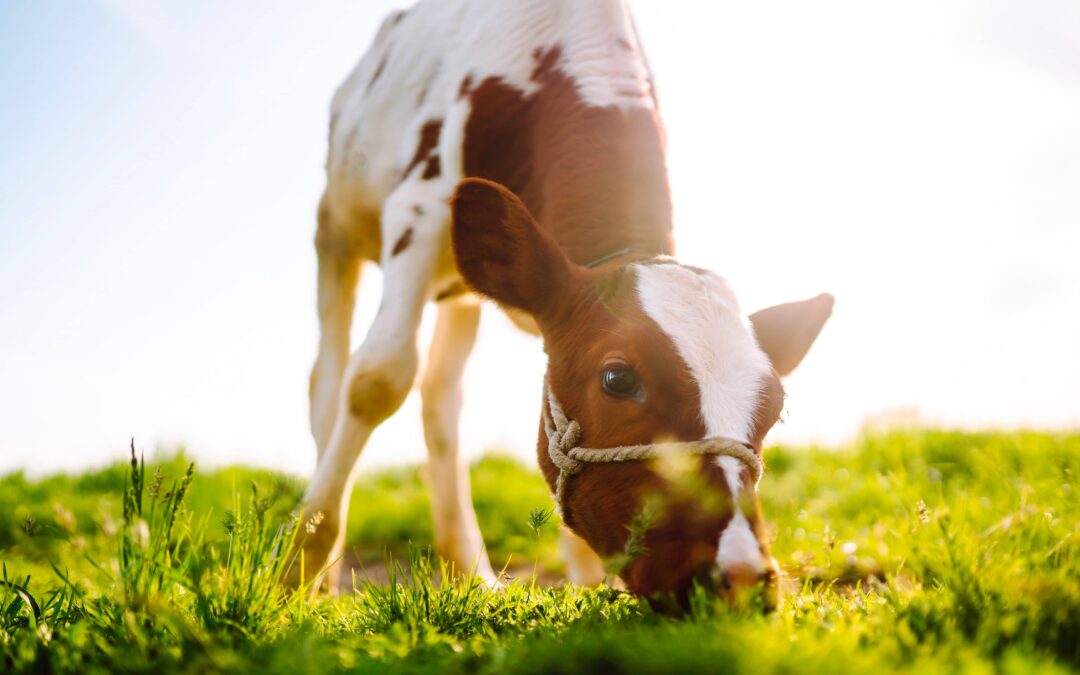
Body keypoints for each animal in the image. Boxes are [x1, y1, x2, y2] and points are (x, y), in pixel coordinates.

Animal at [300, 0, 829, 600]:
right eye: (618, 378)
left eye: (775, 408)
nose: (737, 576)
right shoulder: (419, 208)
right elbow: (378, 379)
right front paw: (296, 568)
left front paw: (587, 579)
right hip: (335, 228)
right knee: (331, 379)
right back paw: (322, 569)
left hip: (460, 291)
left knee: (442, 397)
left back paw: (470, 569)